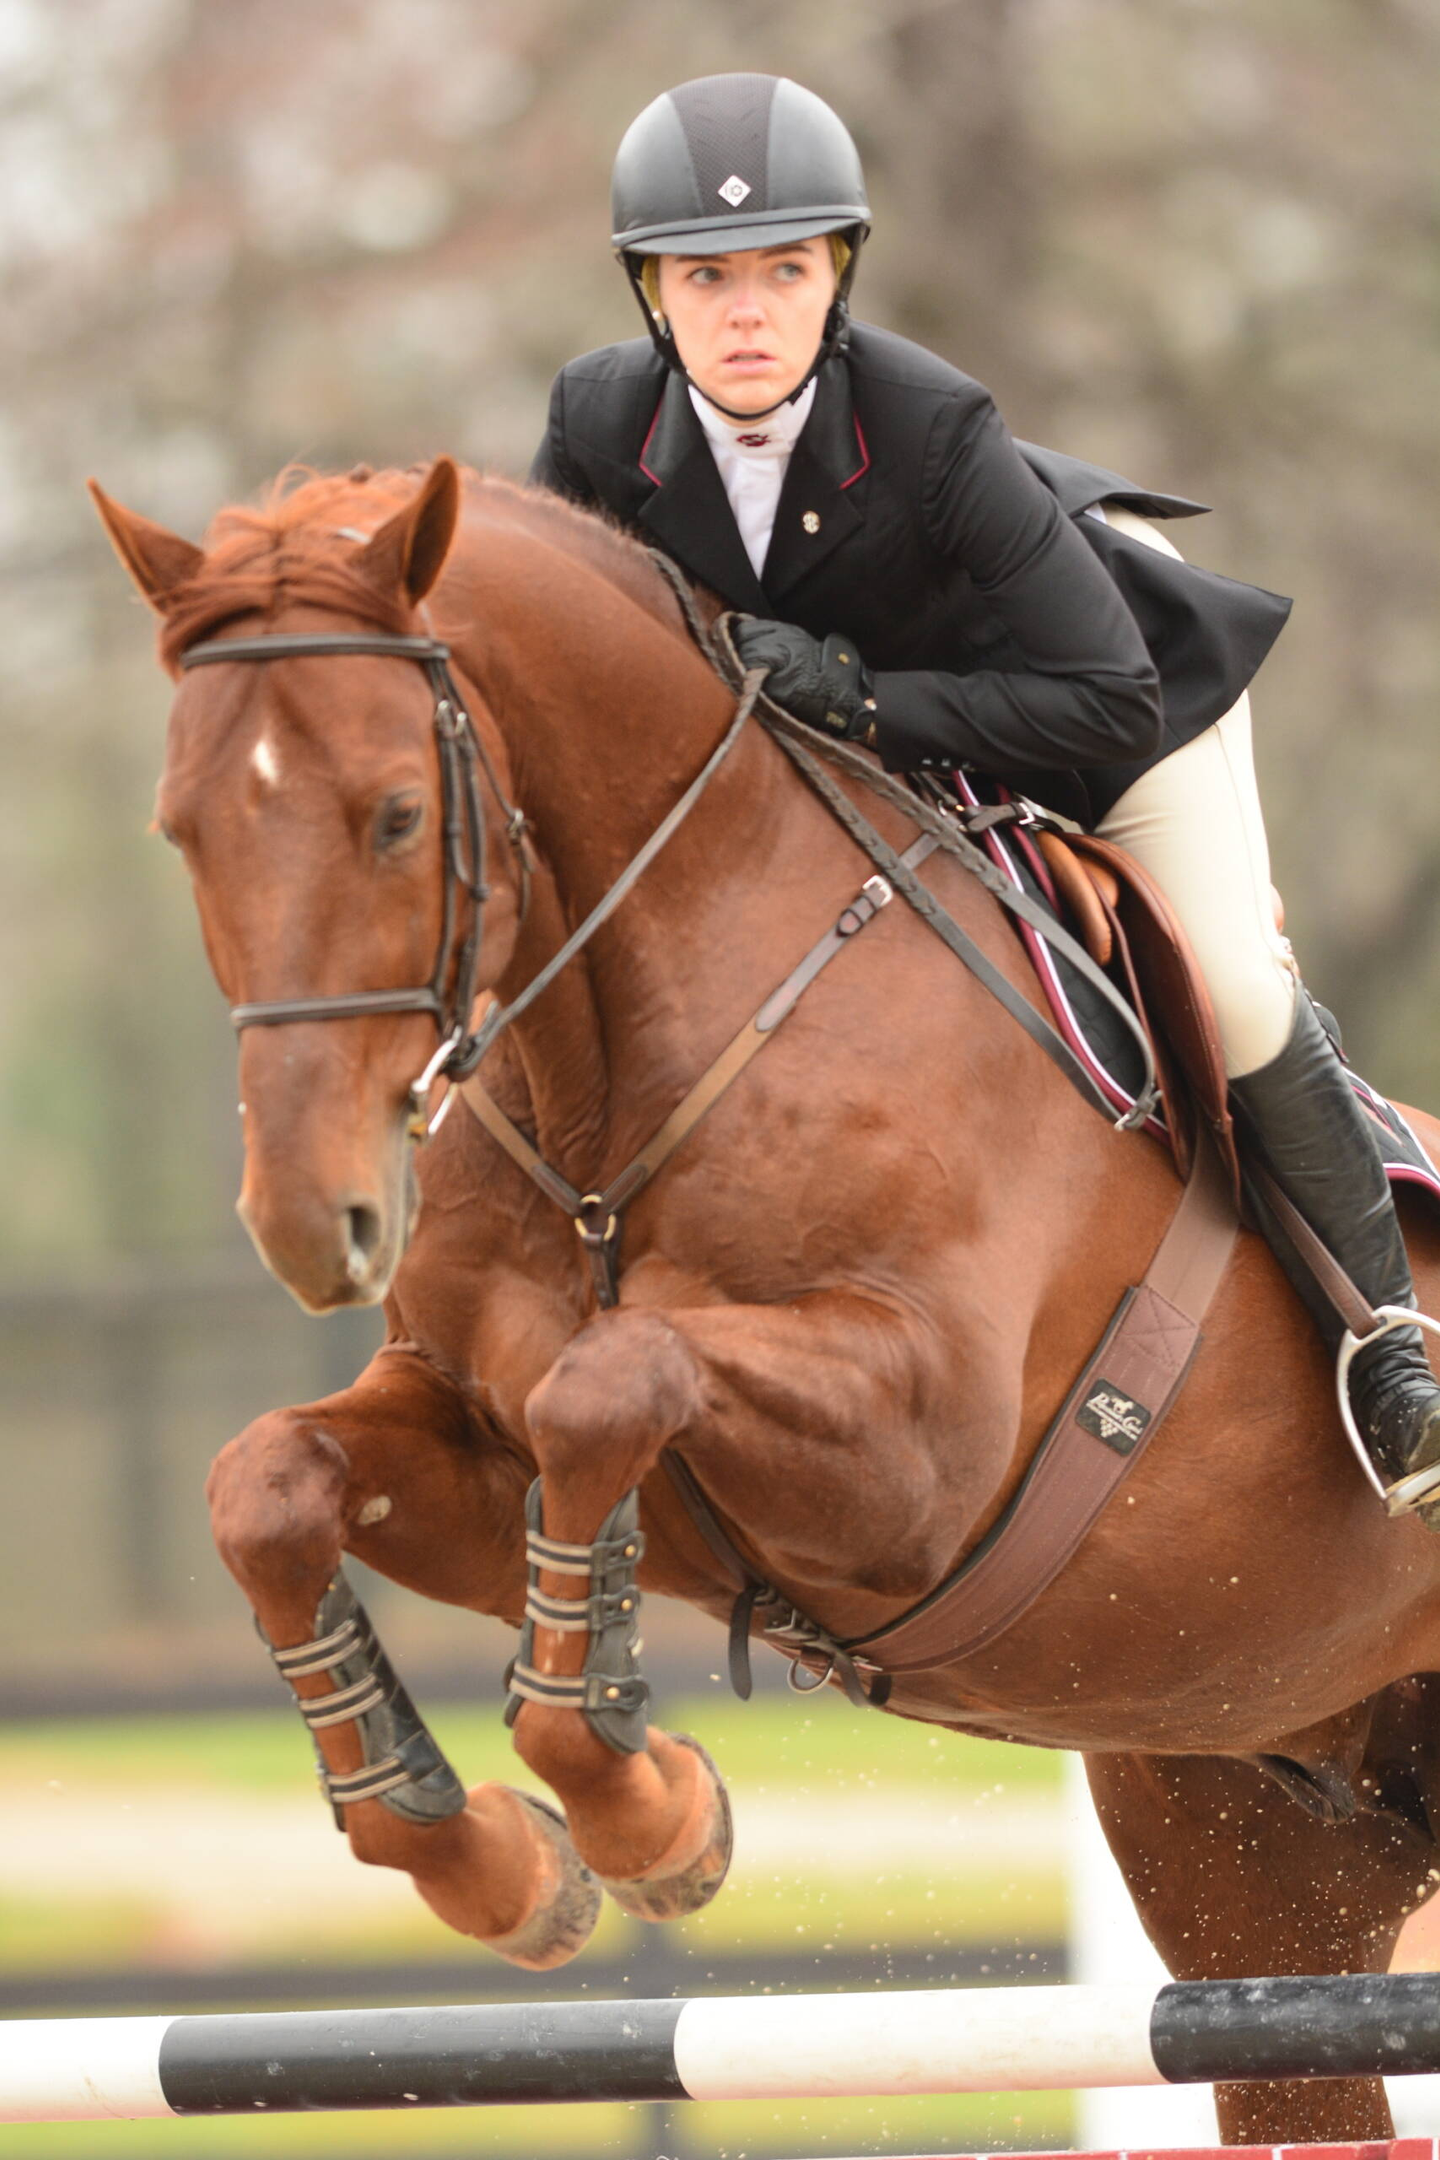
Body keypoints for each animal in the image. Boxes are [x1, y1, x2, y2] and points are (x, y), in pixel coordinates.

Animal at [90, 455, 1440, 2142]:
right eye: (181, 831)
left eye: (397, 816)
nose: (305, 1221)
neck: (615, 1067)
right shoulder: (497, 1451)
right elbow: (272, 1483)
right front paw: (495, 1860)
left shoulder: (921, 1460)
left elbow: (612, 1379)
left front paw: (650, 1815)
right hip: (1258, 1848)